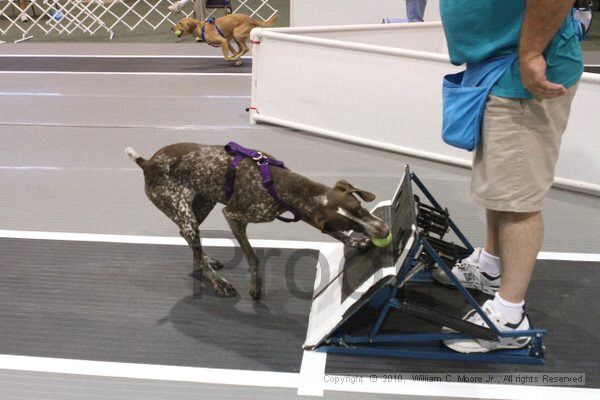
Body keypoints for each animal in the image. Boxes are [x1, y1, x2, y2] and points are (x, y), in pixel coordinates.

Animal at [125, 144, 390, 300]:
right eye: (351, 223)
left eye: (360, 209)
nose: (384, 230)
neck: (278, 183)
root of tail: (146, 163)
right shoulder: (233, 216)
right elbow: (253, 257)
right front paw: (256, 286)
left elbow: (335, 235)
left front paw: (355, 243)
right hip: (184, 211)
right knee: (191, 239)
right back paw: (218, 282)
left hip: (202, 203)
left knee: (187, 238)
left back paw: (207, 260)